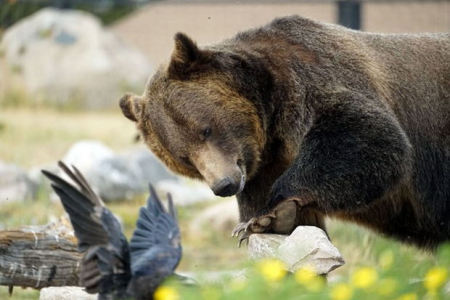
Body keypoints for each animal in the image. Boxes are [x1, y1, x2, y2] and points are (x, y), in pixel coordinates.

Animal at [119, 15, 450, 250]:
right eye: (183, 157)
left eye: (206, 130)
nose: (224, 185)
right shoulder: (264, 166)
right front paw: (261, 221)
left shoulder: (312, 79)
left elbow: (370, 136)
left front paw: (268, 213)